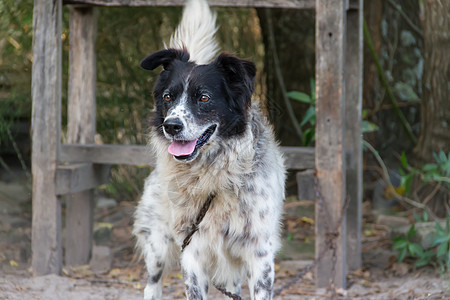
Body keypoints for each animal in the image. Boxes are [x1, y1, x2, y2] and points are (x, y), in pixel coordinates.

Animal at [134, 1, 286, 298]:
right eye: (168, 97)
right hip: (158, 245)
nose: (171, 126)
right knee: (152, 285)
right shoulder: (192, 252)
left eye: (204, 98)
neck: (214, 174)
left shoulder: (259, 254)